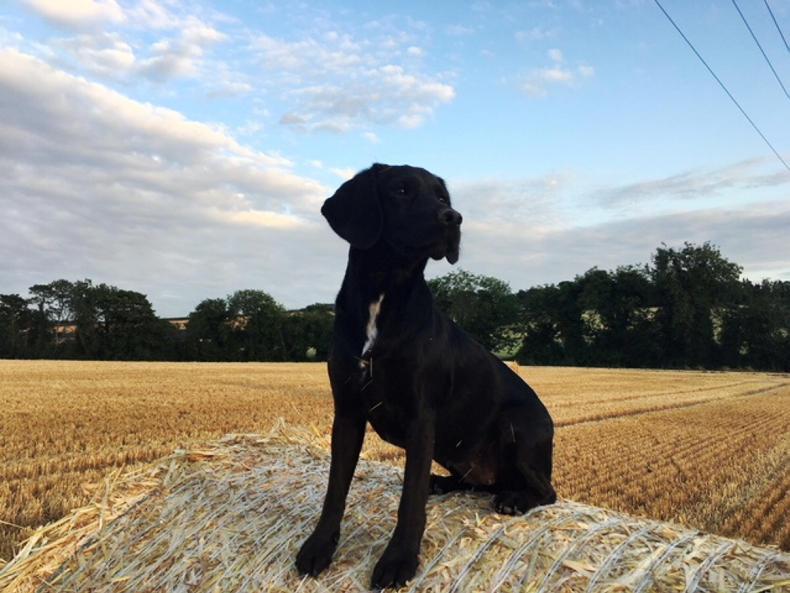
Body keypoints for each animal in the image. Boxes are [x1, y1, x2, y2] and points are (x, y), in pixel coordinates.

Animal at [295, 163, 556, 589]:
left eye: (442, 197)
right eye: (401, 190)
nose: (454, 218)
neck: (384, 291)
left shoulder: (421, 418)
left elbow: (410, 498)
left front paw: (399, 560)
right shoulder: (347, 413)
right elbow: (335, 490)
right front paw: (318, 547)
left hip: (516, 425)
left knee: (546, 491)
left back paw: (515, 499)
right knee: (475, 481)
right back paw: (445, 482)